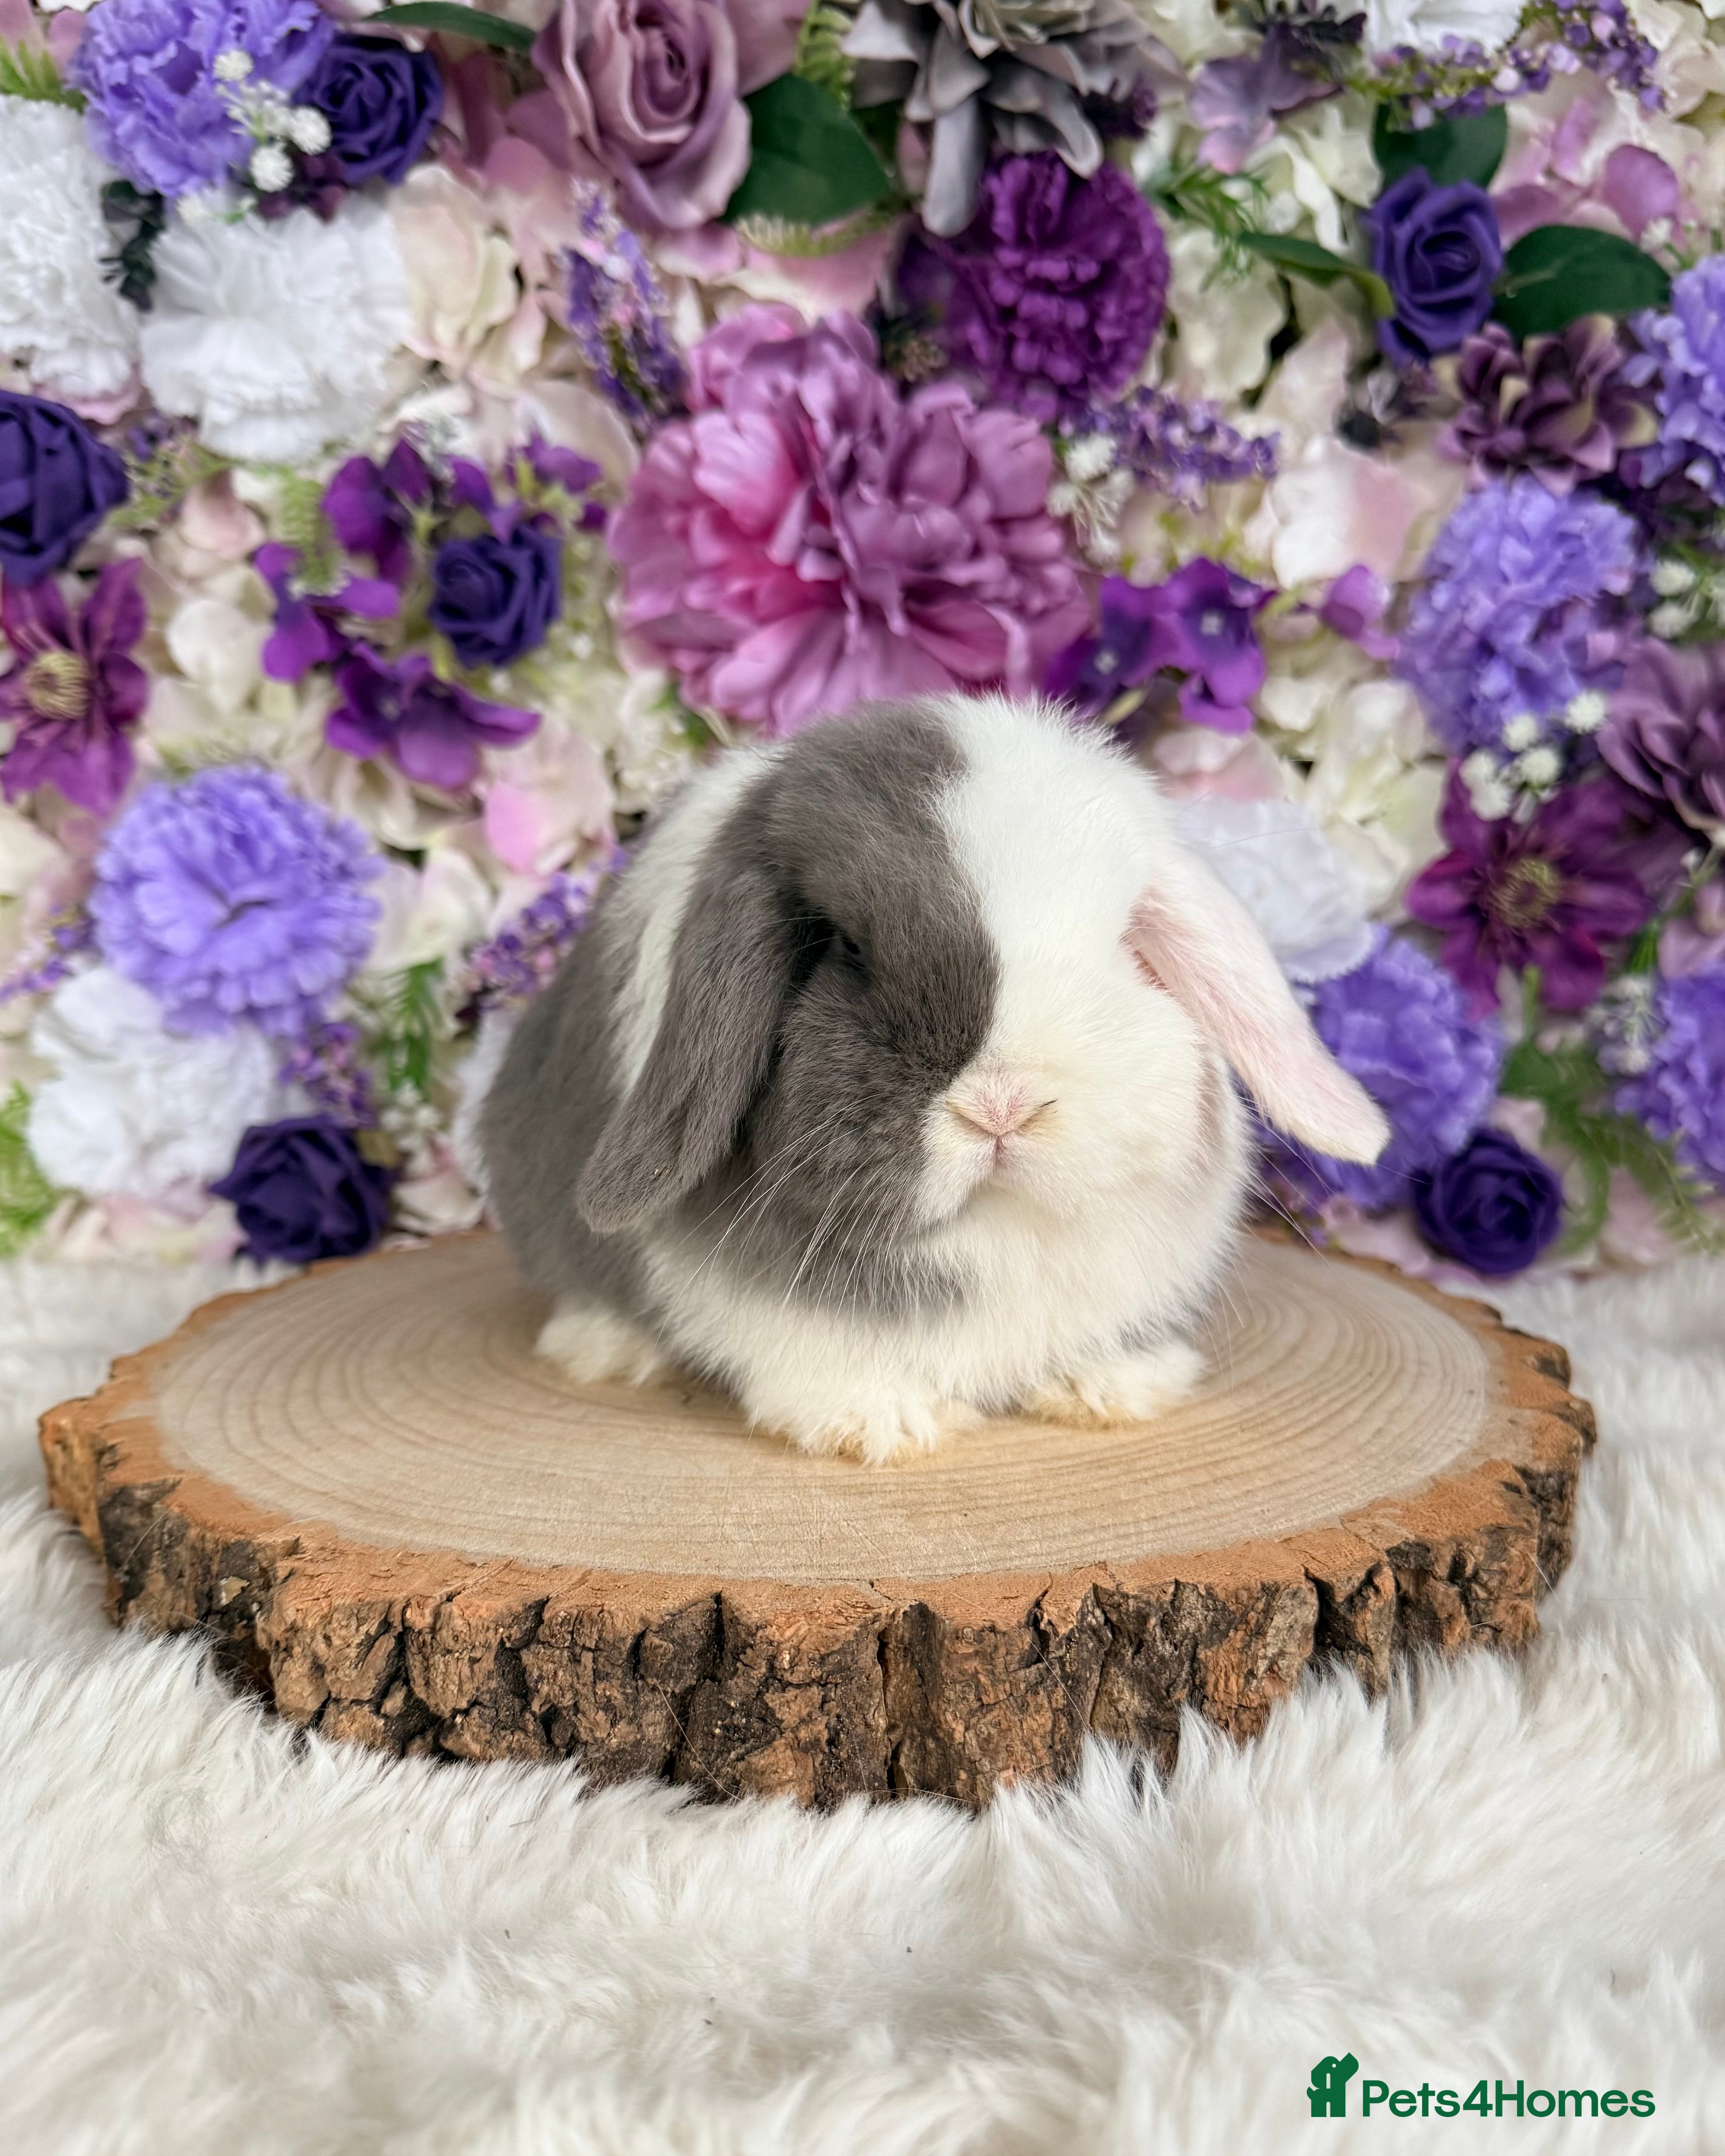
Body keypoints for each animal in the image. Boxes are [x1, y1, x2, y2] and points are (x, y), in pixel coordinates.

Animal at [480, 693, 1388, 1465]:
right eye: (849, 948)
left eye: (1128, 945)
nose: (1005, 1105)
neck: (994, 1235)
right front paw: (878, 1423)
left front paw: (1110, 1390)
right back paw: (608, 1348)